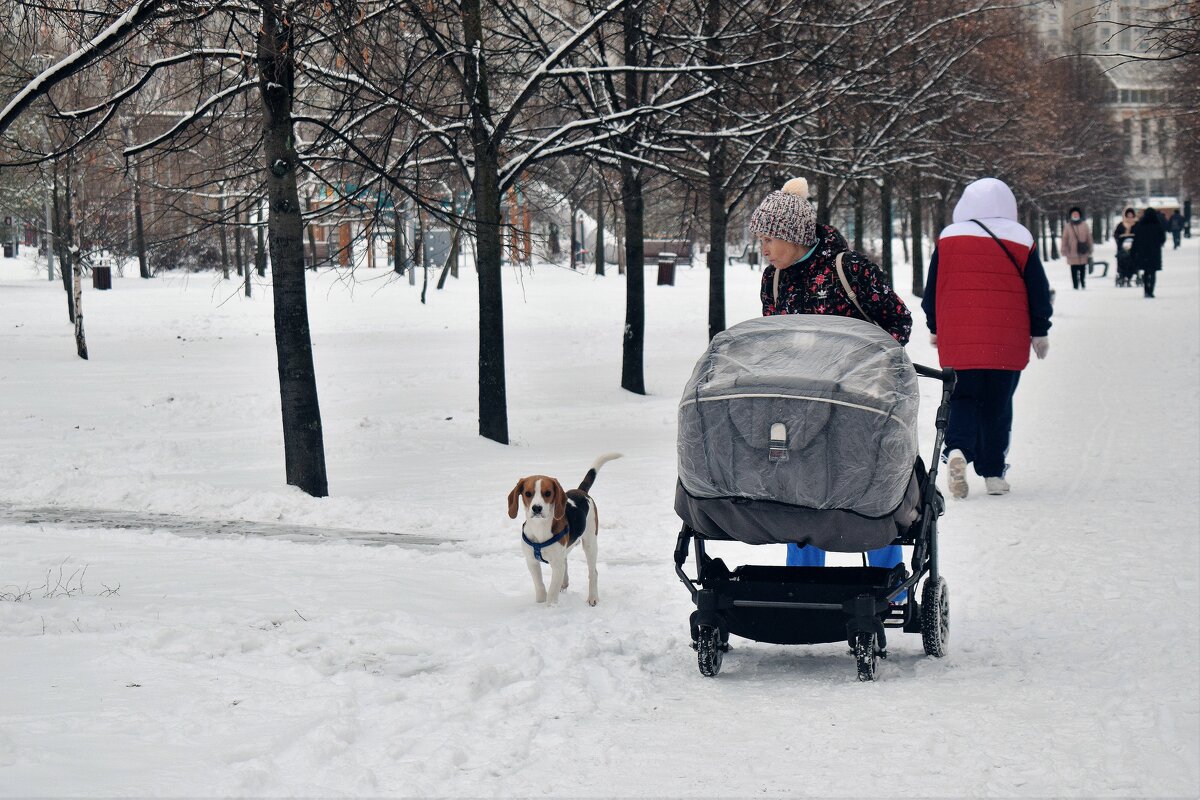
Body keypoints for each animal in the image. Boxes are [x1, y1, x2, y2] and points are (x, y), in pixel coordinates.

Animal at [504, 450, 619, 606]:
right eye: (528, 493)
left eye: (548, 493)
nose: (537, 508)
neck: (540, 527)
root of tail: (581, 491)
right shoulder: (532, 562)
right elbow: (540, 586)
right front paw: (540, 604)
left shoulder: (556, 565)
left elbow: (552, 592)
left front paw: (550, 608)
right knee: (566, 562)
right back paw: (564, 583)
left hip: (590, 543)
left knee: (593, 572)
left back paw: (593, 597)